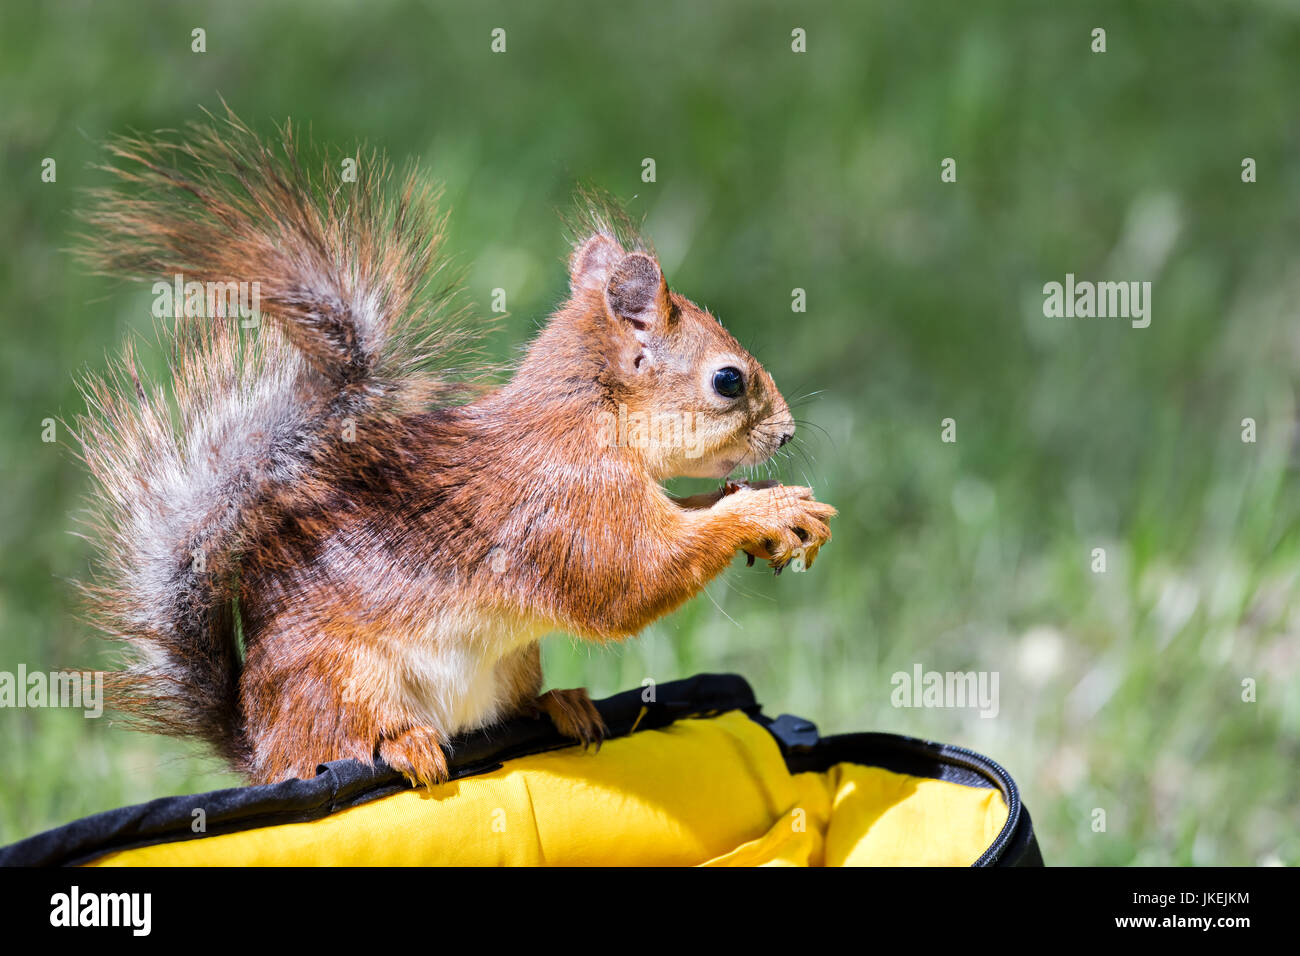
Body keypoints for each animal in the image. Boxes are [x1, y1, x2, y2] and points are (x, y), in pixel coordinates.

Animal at [71, 111, 837, 790]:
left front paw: (763, 504)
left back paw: (561, 705)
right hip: (340, 680)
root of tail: (261, 746)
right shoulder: (568, 506)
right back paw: (403, 745)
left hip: (511, 664)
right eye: (728, 381)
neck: (588, 420)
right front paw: (763, 511)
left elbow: (682, 519)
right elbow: (633, 580)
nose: (787, 434)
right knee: (345, 739)